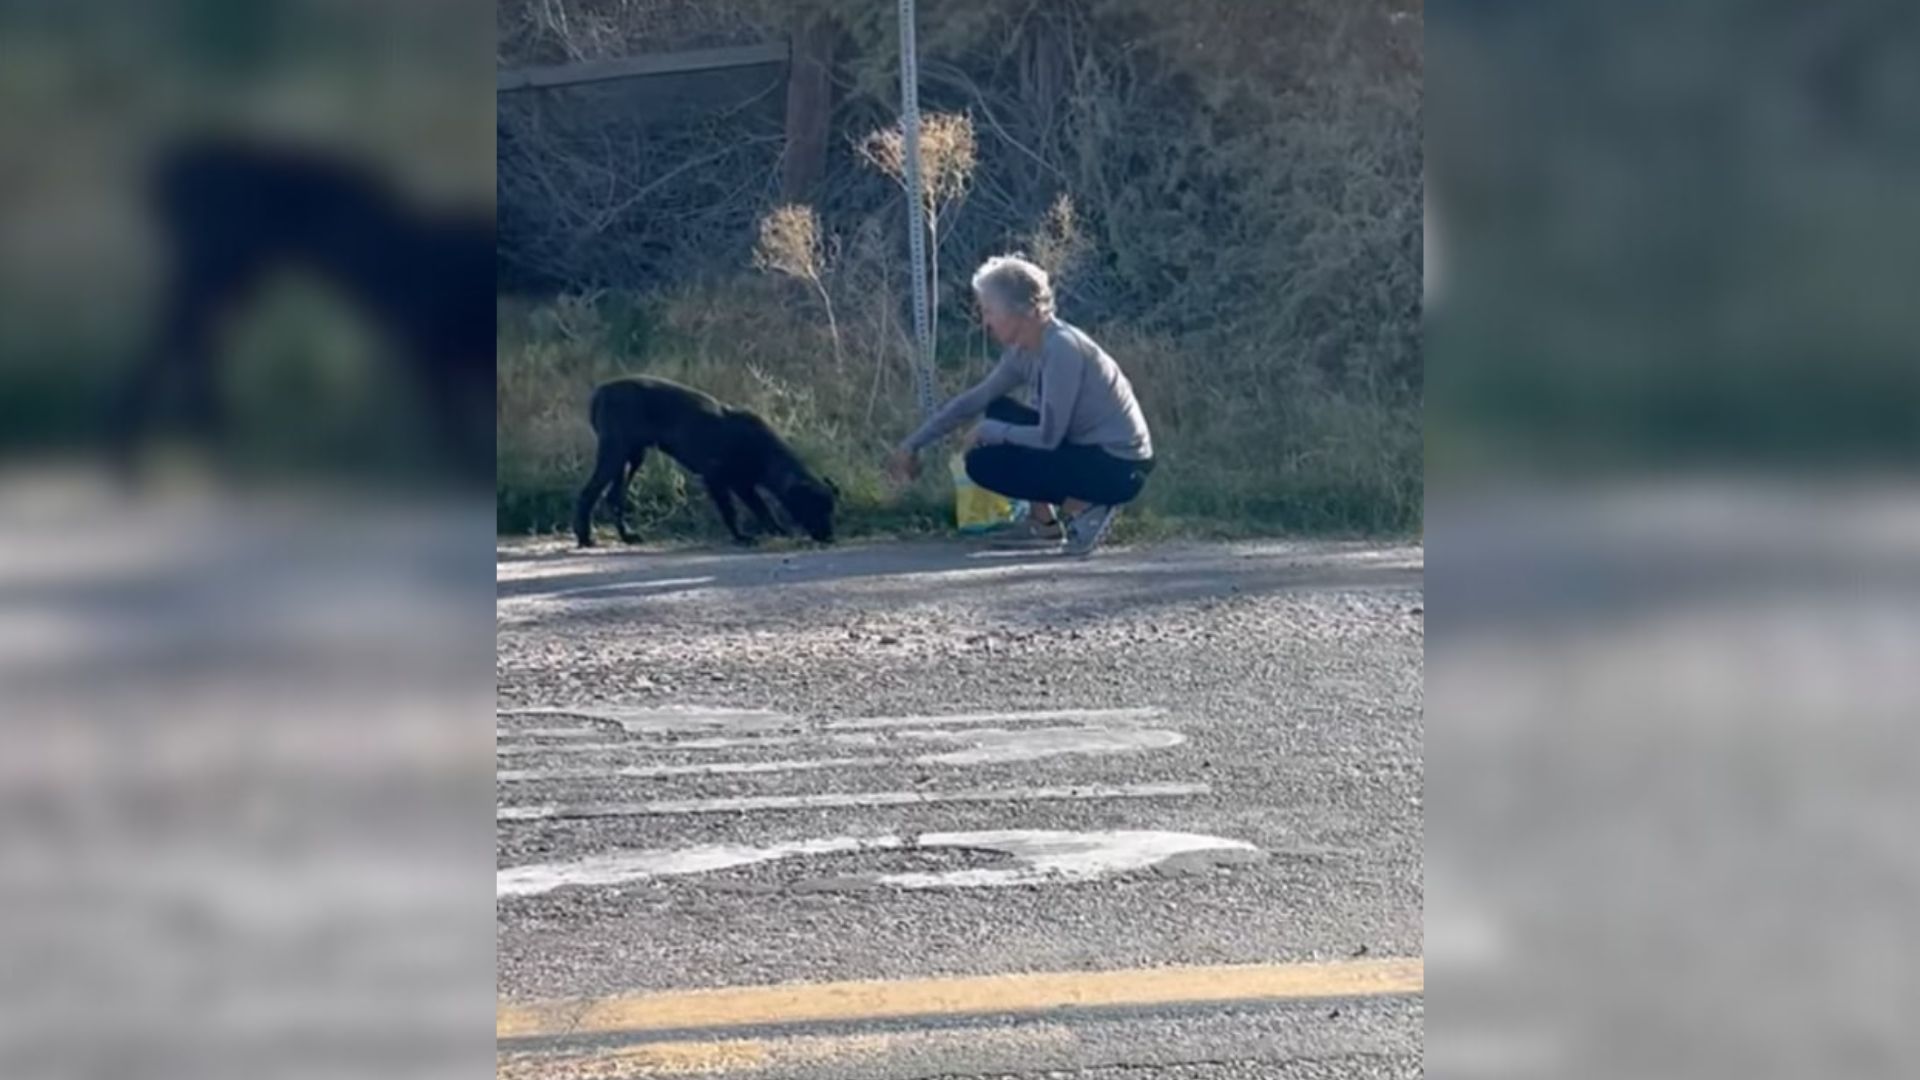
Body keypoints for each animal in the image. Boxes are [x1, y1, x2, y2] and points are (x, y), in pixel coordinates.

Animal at [114, 136, 495, 480]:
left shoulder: (440, 351)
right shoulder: (434, 351)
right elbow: (454, 418)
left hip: (227, 277)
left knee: (190, 342)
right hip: (217, 272)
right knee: (182, 341)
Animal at [572, 376, 837, 545]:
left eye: (830, 510)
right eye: (815, 508)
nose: (830, 537)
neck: (766, 453)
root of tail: (600, 392)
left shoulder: (744, 485)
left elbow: (761, 508)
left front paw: (776, 530)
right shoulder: (716, 479)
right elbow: (734, 511)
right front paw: (742, 537)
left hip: (632, 456)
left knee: (613, 497)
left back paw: (627, 536)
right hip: (615, 454)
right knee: (588, 493)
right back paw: (585, 537)